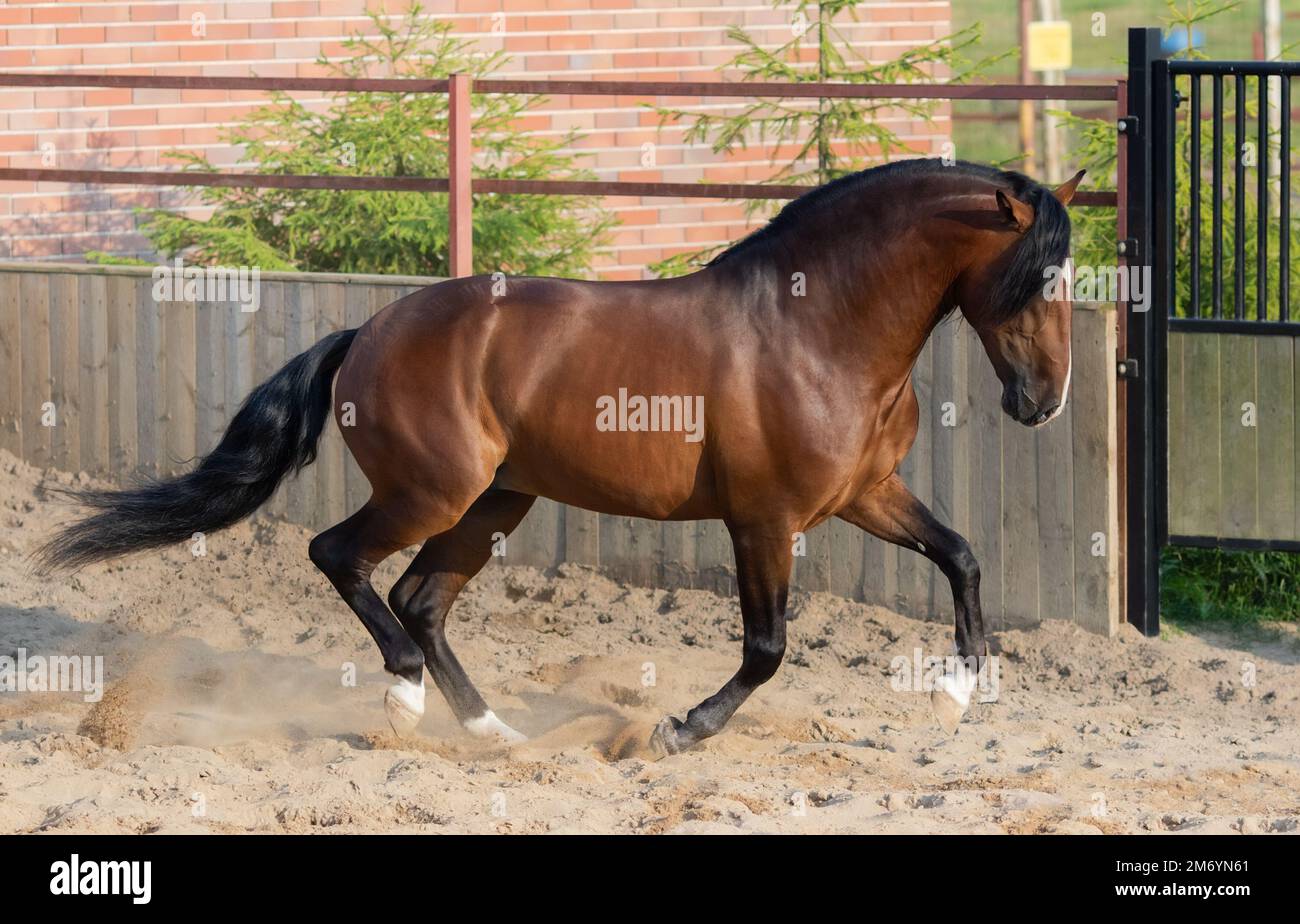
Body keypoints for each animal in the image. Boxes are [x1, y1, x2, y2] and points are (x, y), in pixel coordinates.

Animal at [38, 157, 1086, 753]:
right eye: (1035, 277)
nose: (1042, 404)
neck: (813, 326)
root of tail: (367, 330)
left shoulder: (867, 491)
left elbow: (962, 557)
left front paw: (954, 696)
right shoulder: (763, 518)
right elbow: (768, 648)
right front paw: (678, 731)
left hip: (496, 501)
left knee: (420, 599)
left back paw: (492, 730)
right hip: (435, 491)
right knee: (340, 558)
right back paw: (406, 705)